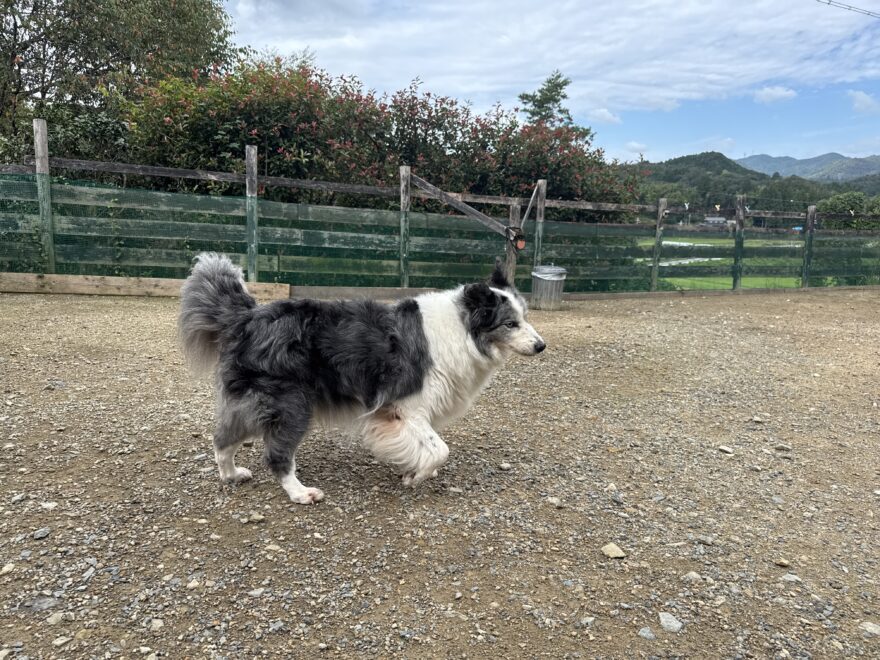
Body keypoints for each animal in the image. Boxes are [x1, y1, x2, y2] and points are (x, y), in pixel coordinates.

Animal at [178, 253, 545, 504]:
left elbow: (424, 446)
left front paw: (411, 468)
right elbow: (440, 449)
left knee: (223, 437)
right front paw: (416, 478)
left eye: (525, 317)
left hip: (256, 400)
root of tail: (248, 316)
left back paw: (231, 475)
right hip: (293, 404)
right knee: (276, 454)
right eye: (510, 323)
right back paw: (299, 492)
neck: (462, 329)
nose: (542, 346)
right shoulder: (405, 406)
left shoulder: (398, 413)